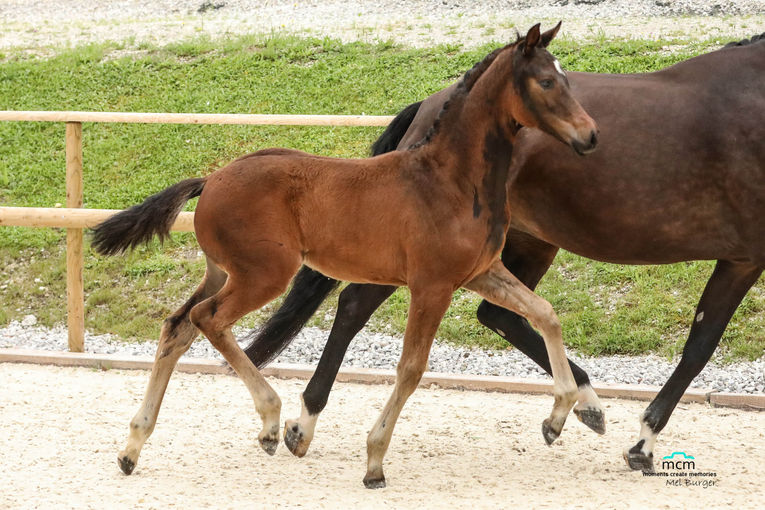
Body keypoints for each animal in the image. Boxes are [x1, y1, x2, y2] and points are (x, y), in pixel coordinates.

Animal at [94, 24, 596, 490]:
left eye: (566, 79)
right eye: (546, 82)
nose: (591, 136)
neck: (450, 181)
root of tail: (211, 180)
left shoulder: (482, 272)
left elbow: (546, 314)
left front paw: (559, 417)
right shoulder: (431, 286)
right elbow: (411, 368)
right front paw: (374, 461)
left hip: (221, 272)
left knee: (176, 327)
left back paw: (132, 448)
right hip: (264, 275)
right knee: (208, 319)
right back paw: (271, 421)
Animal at [243, 31, 764, 472]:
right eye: (547, 82)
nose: (590, 138)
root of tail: (430, 106)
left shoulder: (742, 260)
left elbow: (698, 343)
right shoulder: (745, 258)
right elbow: (699, 348)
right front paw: (643, 443)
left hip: (523, 245)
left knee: (502, 316)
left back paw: (582, 405)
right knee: (355, 306)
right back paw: (303, 424)